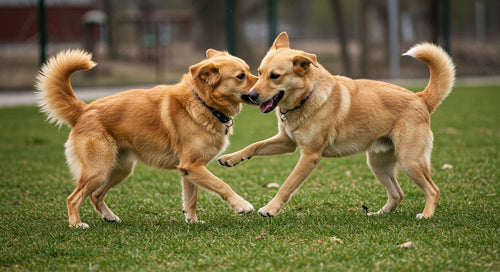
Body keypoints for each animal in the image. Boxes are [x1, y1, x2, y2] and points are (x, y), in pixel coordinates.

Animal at [36, 48, 258, 227]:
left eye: (249, 71)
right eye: (241, 76)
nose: (261, 86)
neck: (203, 102)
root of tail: (84, 110)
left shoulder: (189, 169)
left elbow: (191, 199)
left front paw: (192, 221)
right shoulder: (193, 166)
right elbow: (221, 185)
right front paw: (242, 205)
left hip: (119, 169)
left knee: (95, 195)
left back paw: (110, 217)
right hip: (98, 170)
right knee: (73, 198)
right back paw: (76, 224)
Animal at [218, 32, 454, 219]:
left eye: (275, 76)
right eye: (259, 72)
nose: (251, 95)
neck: (307, 96)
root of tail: (420, 98)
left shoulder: (310, 155)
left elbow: (287, 184)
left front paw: (270, 209)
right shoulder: (287, 141)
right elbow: (255, 145)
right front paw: (231, 158)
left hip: (409, 161)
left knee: (433, 190)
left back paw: (426, 214)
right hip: (378, 164)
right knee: (398, 194)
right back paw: (378, 214)